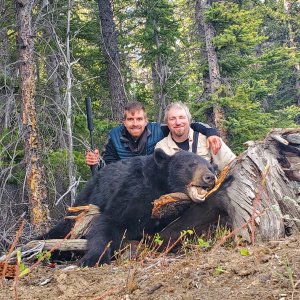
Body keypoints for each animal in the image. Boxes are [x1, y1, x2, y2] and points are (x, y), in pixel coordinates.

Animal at [42, 149, 216, 266]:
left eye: (210, 167)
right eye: (191, 165)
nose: (210, 177)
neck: (161, 186)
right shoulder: (134, 190)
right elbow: (111, 221)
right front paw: (93, 258)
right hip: (83, 203)